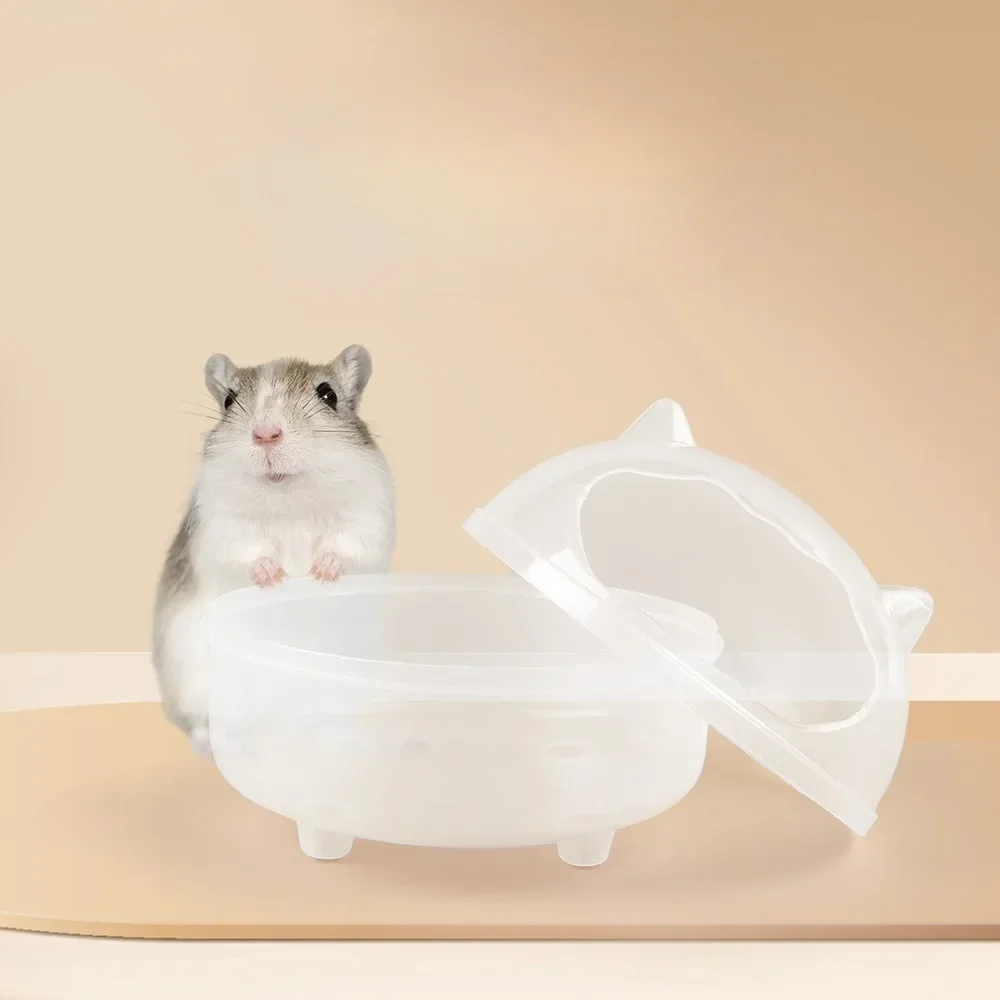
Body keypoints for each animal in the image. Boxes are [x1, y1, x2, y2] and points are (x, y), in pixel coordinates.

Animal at [152, 346, 395, 755]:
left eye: (328, 395)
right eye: (229, 400)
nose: (266, 434)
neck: (287, 494)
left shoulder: (366, 522)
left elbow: (347, 547)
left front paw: (320, 573)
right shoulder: (223, 528)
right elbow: (247, 552)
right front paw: (275, 577)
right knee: (200, 724)